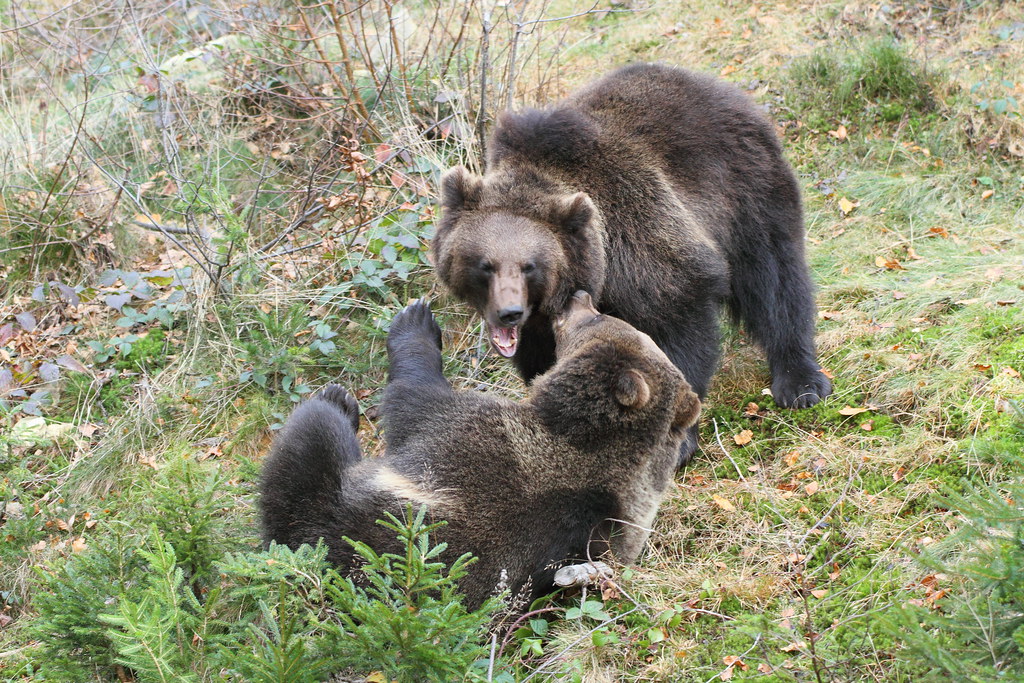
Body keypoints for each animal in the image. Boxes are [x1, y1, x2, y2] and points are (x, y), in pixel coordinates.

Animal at [259, 293, 699, 610]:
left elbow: (414, 398)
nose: (579, 295)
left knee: (311, 445)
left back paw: (336, 402)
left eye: (597, 319)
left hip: (329, 518)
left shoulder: (465, 432)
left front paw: (416, 320)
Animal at [432, 63, 832, 465]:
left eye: (529, 265)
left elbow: (677, 334)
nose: (509, 312)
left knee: (774, 279)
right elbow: (546, 362)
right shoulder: (539, 329)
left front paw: (674, 439)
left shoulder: (647, 249)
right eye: (484, 264)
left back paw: (801, 382)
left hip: (746, 191)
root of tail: (719, 87)